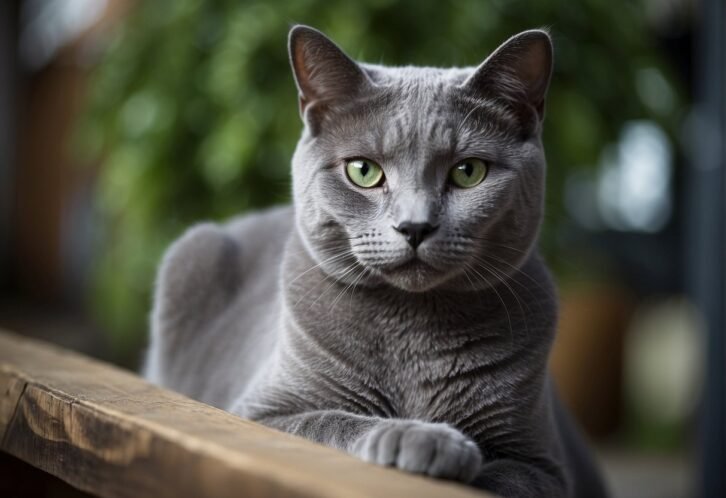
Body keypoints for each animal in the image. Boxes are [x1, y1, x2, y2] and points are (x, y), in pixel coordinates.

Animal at [145, 27, 612, 498]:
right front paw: (426, 439)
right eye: (363, 171)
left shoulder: (543, 467)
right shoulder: (260, 414)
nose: (415, 226)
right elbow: (335, 422)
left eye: (468, 172)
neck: (414, 335)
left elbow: (504, 474)